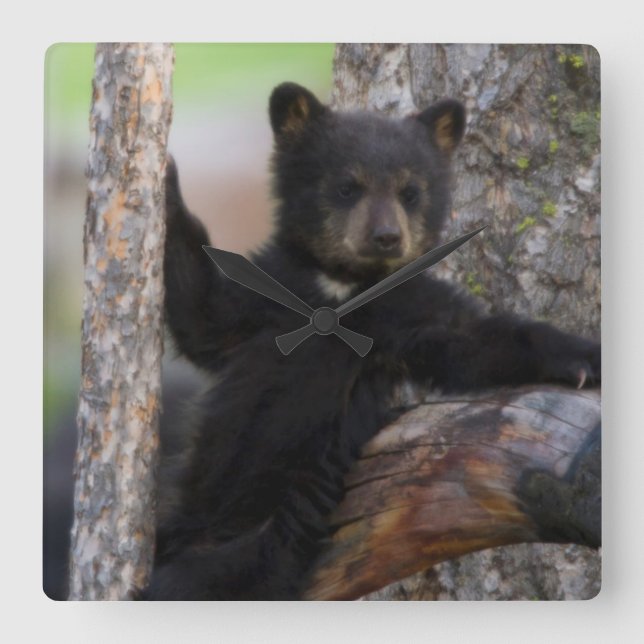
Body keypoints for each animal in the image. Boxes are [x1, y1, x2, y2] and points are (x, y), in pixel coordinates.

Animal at [143, 82, 600, 600]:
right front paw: (165, 178)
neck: (341, 287)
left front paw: (583, 358)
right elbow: (202, 312)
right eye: (348, 186)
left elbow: (472, 340)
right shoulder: (263, 298)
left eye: (410, 191)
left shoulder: (406, 315)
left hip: (264, 541)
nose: (386, 236)